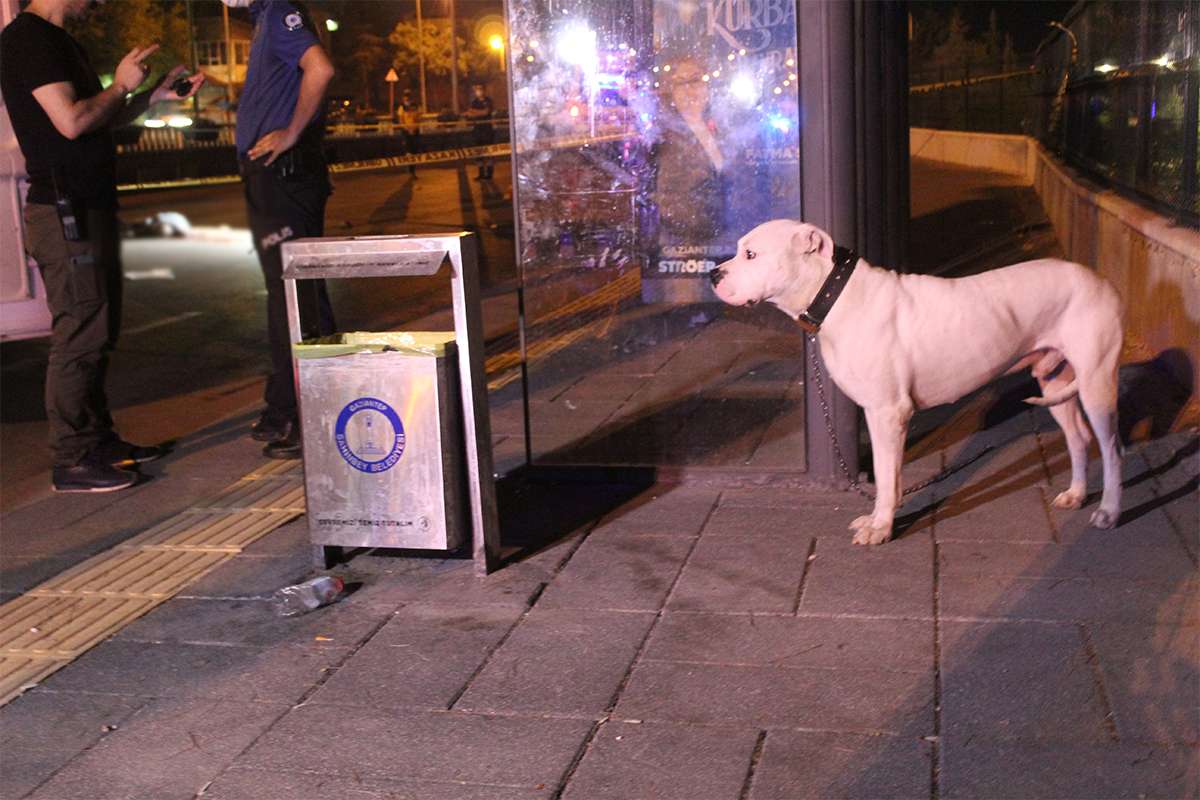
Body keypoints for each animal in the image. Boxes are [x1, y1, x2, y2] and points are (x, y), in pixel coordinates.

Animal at [705, 219, 1118, 544]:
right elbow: (889, 476)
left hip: (1098, 384)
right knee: (1078, 438)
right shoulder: (877, 414)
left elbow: (887, 477)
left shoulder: (889, 413)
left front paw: (881, 529)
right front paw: (879, 519)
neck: (834, 294)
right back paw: (1076, 494)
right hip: (1055, 382)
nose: (713, 273)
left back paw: (1109, 512)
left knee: (1112, 449)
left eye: (751, 255)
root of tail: (1102, 281)